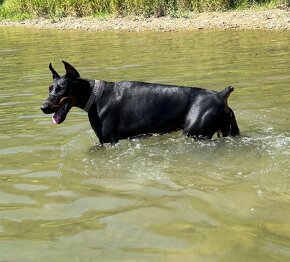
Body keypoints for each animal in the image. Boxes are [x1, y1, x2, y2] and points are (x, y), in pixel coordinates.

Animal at [40, 60, 240, 144]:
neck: (95, 97)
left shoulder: (108, 141)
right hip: (228, 131)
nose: (43, 107)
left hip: (195, 134)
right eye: (49, 88)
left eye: (62, 89)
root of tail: (220, 95)